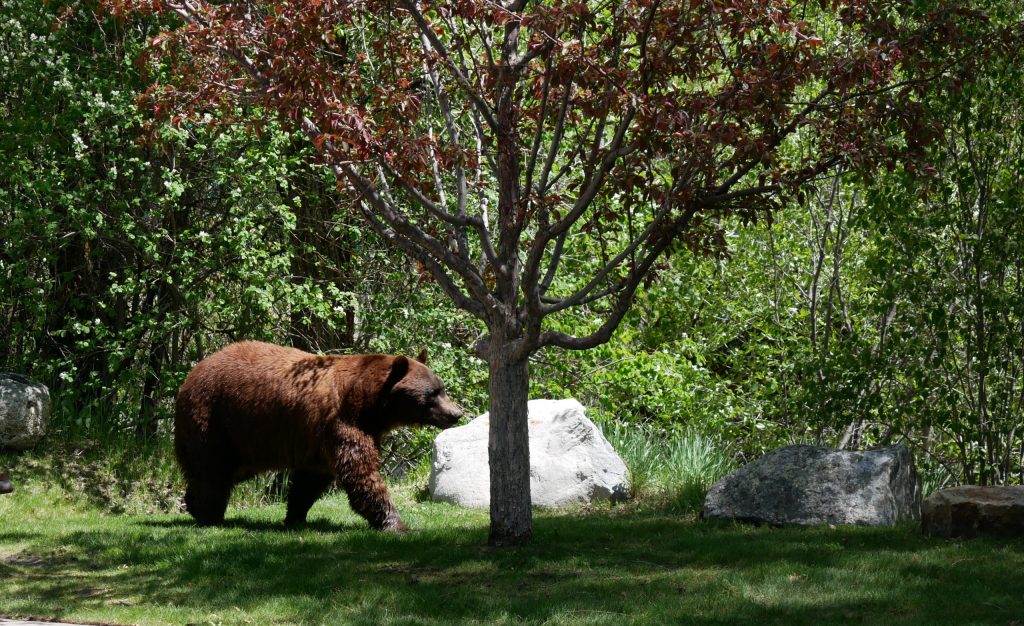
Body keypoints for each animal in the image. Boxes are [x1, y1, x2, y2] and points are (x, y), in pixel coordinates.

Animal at [173, 340, 462, 531]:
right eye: (432, 394)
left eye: (442, 388)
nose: (456, 414)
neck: (368, 403)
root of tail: (189, 376)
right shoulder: (342, 423)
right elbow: (360, 472)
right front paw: (395, 522)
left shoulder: (319, 440)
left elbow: (311, 480)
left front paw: (295, 516)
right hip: (215, 420)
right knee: (212, 470)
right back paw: (210, 515)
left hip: (241, 440)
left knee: (213, 472)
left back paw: (193, 504)